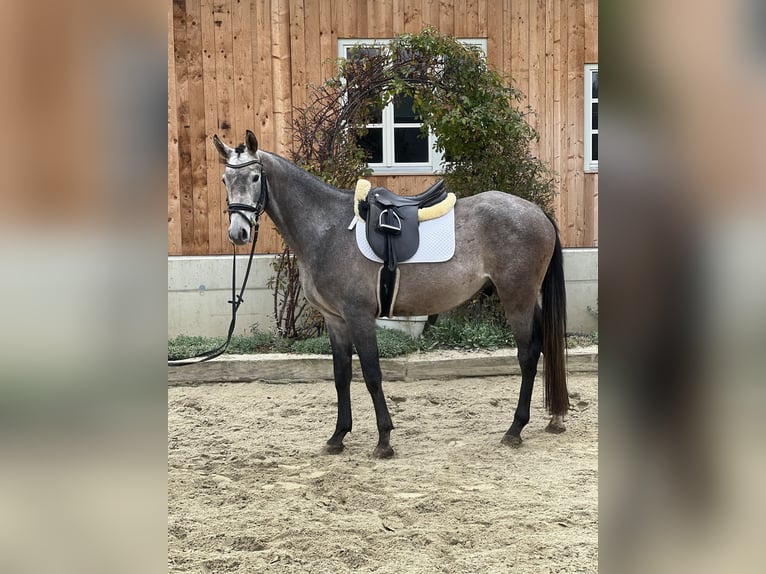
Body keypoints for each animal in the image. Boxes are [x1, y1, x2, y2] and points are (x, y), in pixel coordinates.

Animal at [213, 129, 568, 460]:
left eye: (255, 177)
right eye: (225, 179)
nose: (238, 233)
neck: (327, 229)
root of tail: (537, 212)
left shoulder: (358, 315)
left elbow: (371, 374)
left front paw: (383, 440)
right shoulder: (335, 319)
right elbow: (341, 375)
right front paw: (338, 436)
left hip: (516, 297)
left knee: (528, 354)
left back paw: (515, 429)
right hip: (526, 298)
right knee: (545, 343)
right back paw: (555, 418)